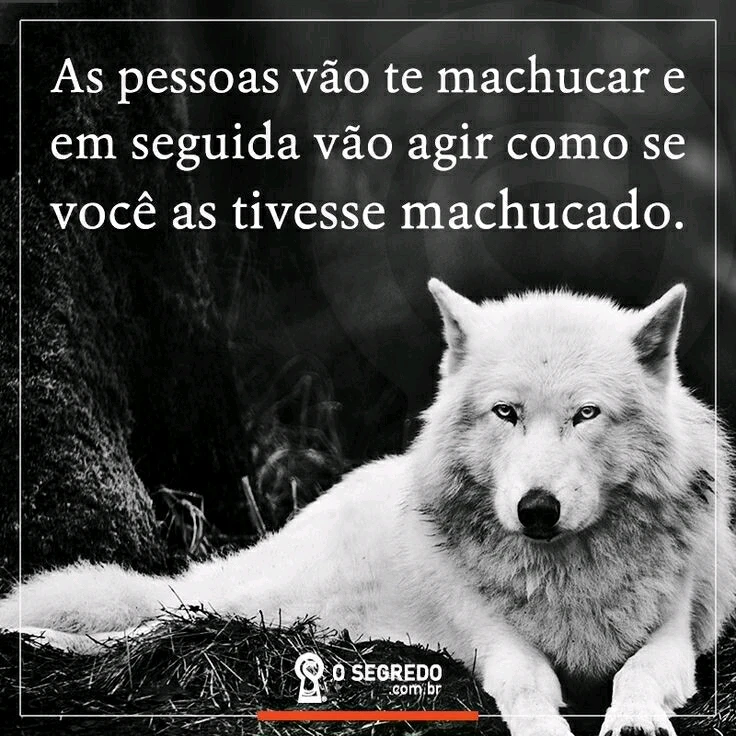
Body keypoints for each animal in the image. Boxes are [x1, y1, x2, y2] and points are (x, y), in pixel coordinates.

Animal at [2, 280, 734, 736]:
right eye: (506, 412)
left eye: (587, 414)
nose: (537, 509)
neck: (565, 574)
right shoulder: (495, 642)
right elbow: (528, 684)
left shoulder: (675, 637)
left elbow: (638, 674)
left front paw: (634, 721)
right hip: (261, 602)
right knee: (154, 619)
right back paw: (43, 639)